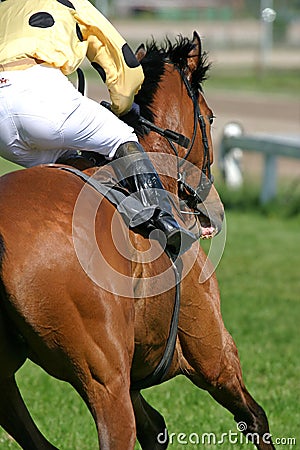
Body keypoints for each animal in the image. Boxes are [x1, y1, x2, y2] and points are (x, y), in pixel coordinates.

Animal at [0, 32, 274, 450]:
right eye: (210, 117)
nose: (210, 204)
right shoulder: (212, 352)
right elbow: (255, 418)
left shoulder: (136, 371)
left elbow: (155, 426)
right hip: (104, 377)